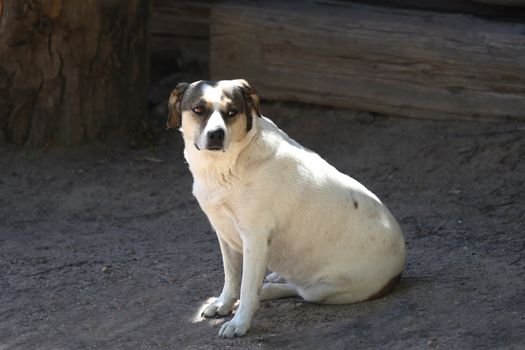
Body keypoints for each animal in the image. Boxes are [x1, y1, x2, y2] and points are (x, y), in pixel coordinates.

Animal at [168, 80, 406, 340]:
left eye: (232, 112)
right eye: (199, 109)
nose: (216, 135)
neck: (229, 164)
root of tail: (398, 271)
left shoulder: (255, 238)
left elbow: (247, 287)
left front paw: (240, 322)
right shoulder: (224, 233)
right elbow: (231, 277)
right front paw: (224, 303)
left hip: (325, 288)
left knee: (299, 290)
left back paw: (268, 289)